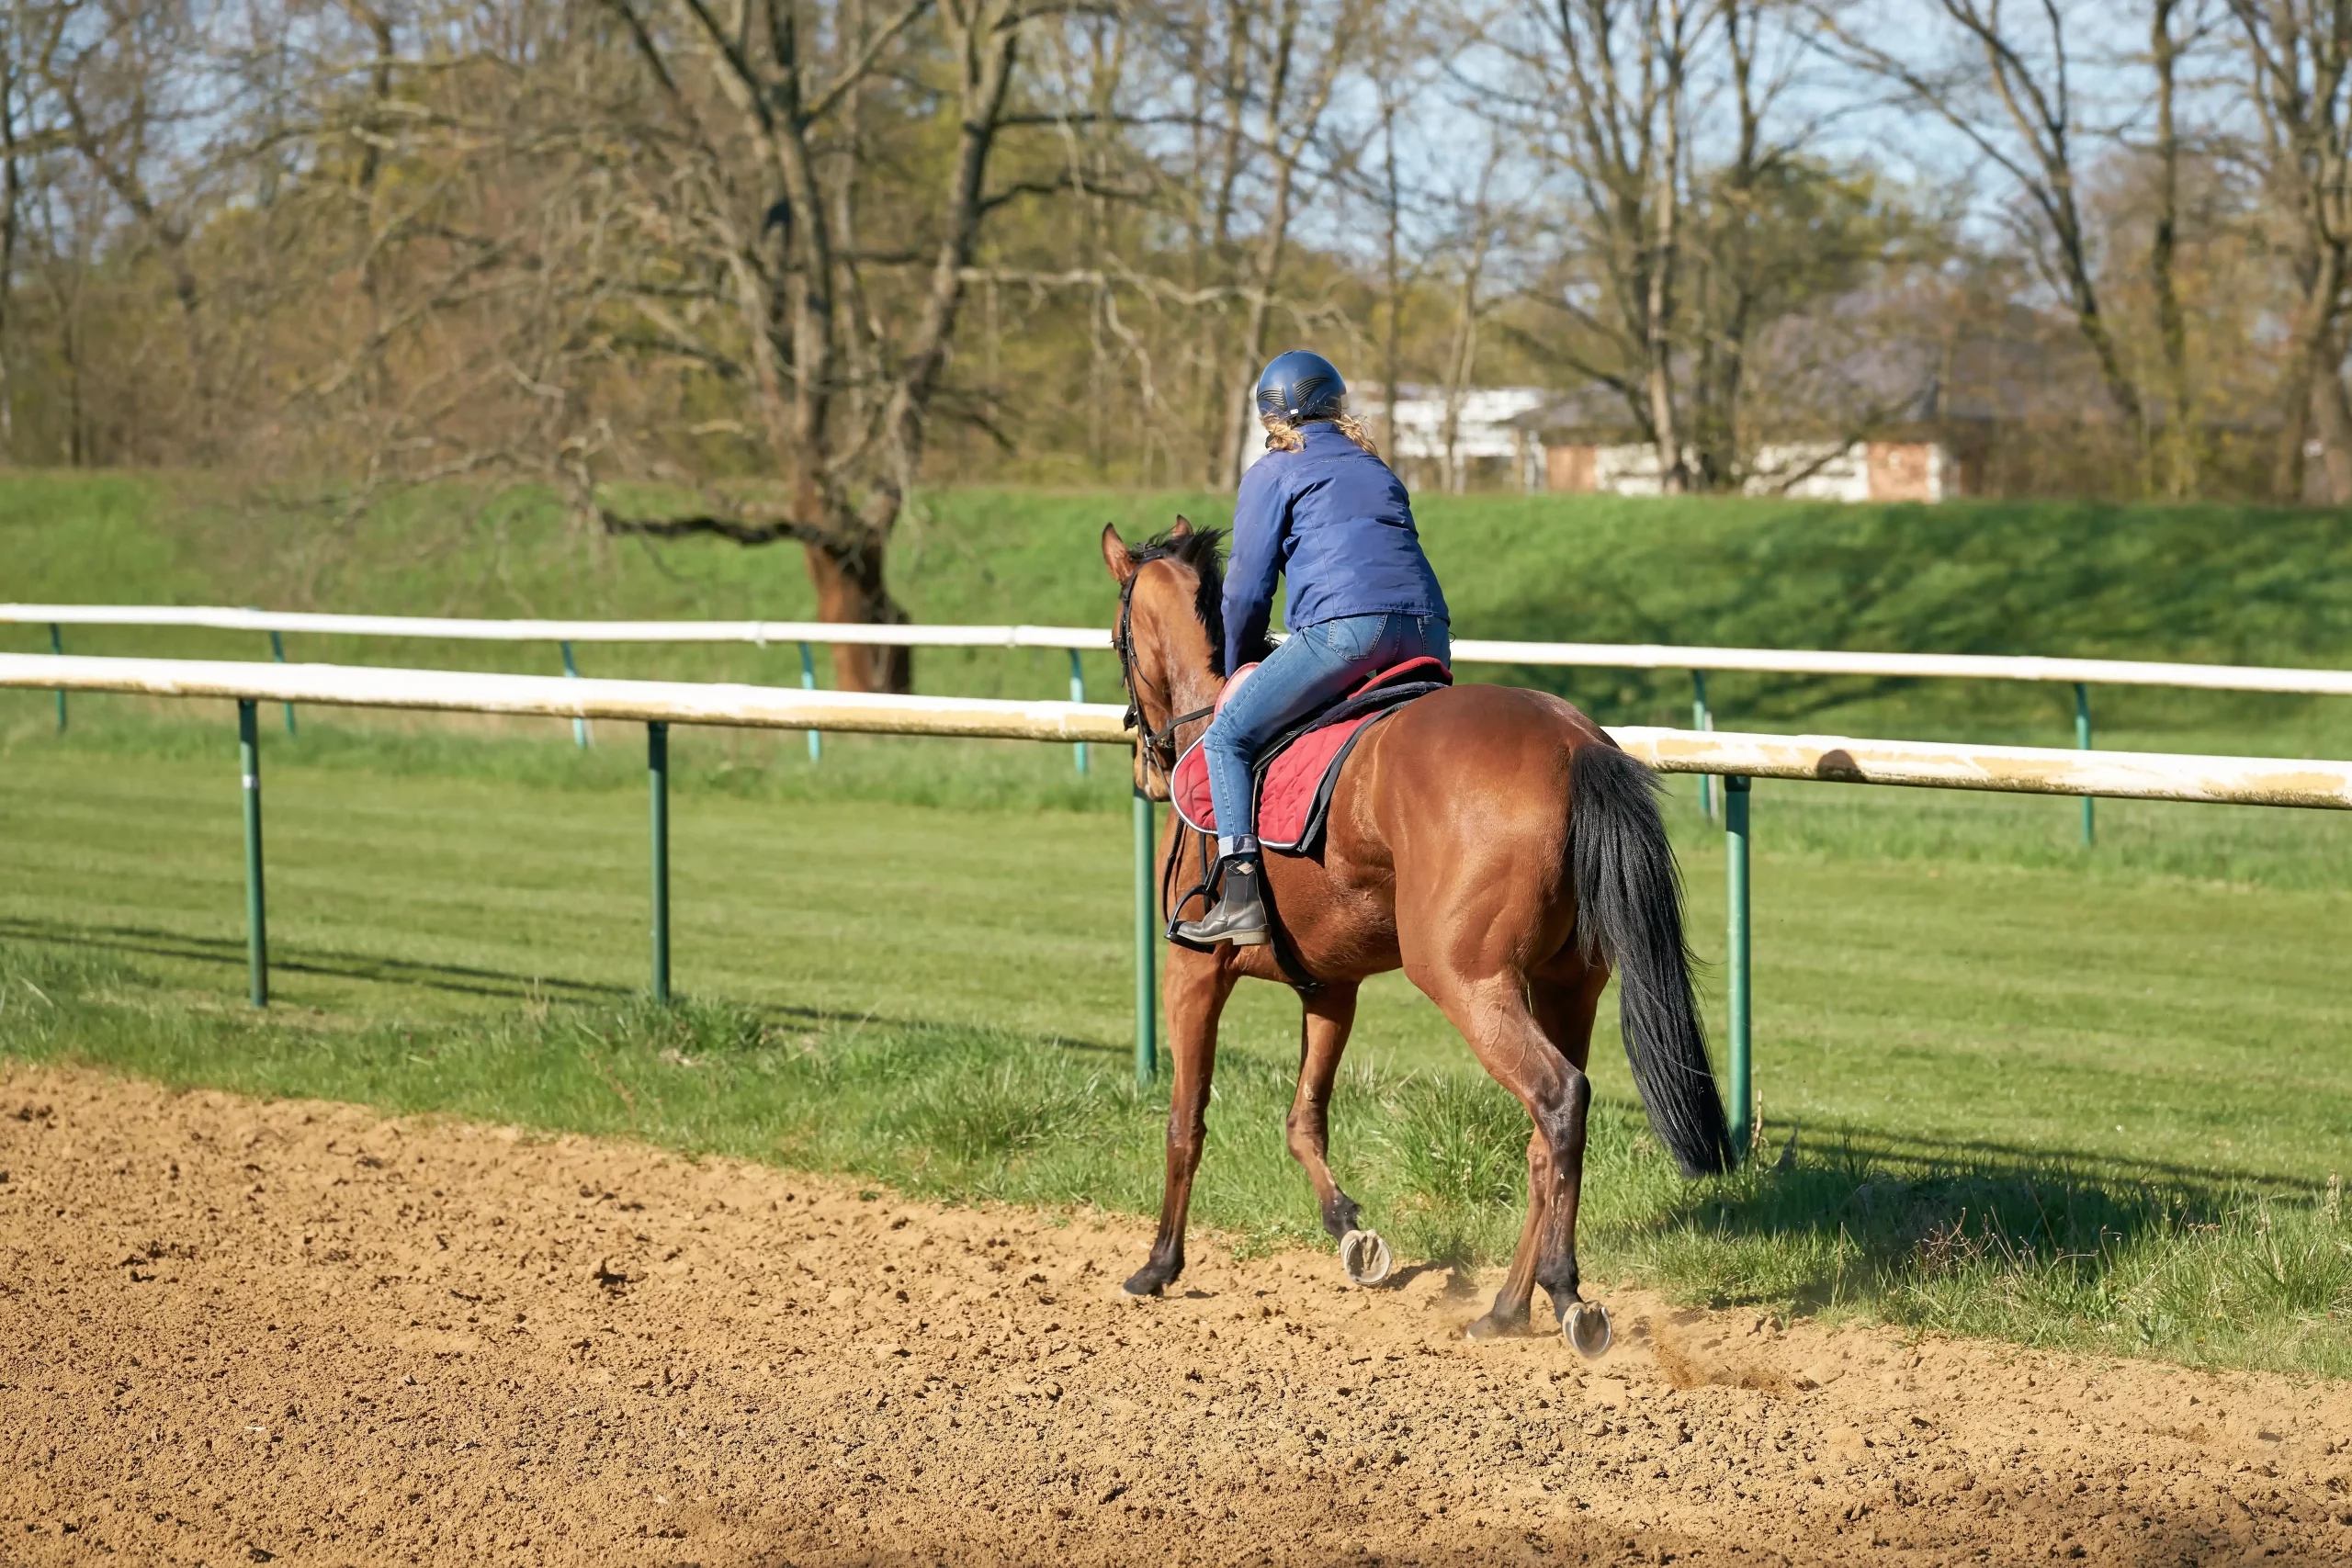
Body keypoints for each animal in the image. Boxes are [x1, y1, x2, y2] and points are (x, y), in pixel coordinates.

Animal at [1102, 519, 1732, 1352]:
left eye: (1116, 638)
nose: (1145, 768)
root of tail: (1573, 741)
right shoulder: (1330, 987)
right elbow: (1305, 1119)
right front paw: (1349, 1230)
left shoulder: (1194, 970)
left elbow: (1185, 1121)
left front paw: (1158, 1264)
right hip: (1566, 985)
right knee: (1547, 1136)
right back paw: (1511, 1303)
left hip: (1466, 978)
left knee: (1559, 1098)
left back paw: (1562, 1289)